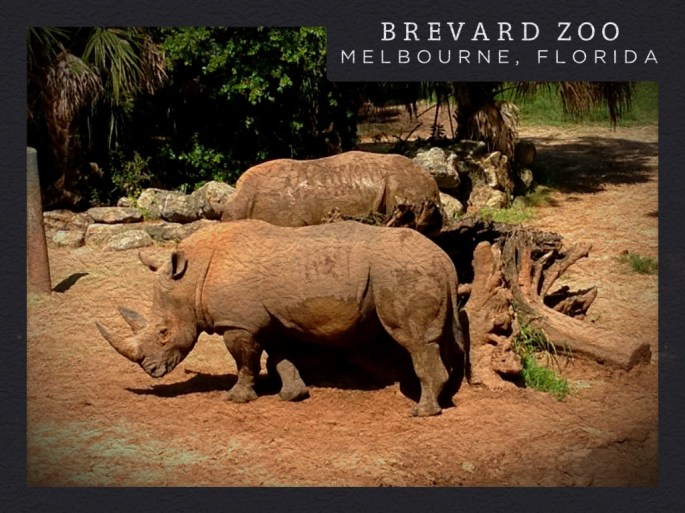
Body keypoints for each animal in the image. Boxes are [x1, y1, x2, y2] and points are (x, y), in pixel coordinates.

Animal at [96, 219, 463, 416]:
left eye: (162, 331)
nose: (151, 370)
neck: (193, 277)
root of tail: (445, 259)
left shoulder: (238, 323)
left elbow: (245, 361)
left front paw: (237, 398)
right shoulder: (267, 319)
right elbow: (280, 355)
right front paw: (293, 394)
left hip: (403, 272)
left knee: (415, 342)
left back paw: (421, 411)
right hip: (418, 270)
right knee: (438, 339)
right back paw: (443, 398)